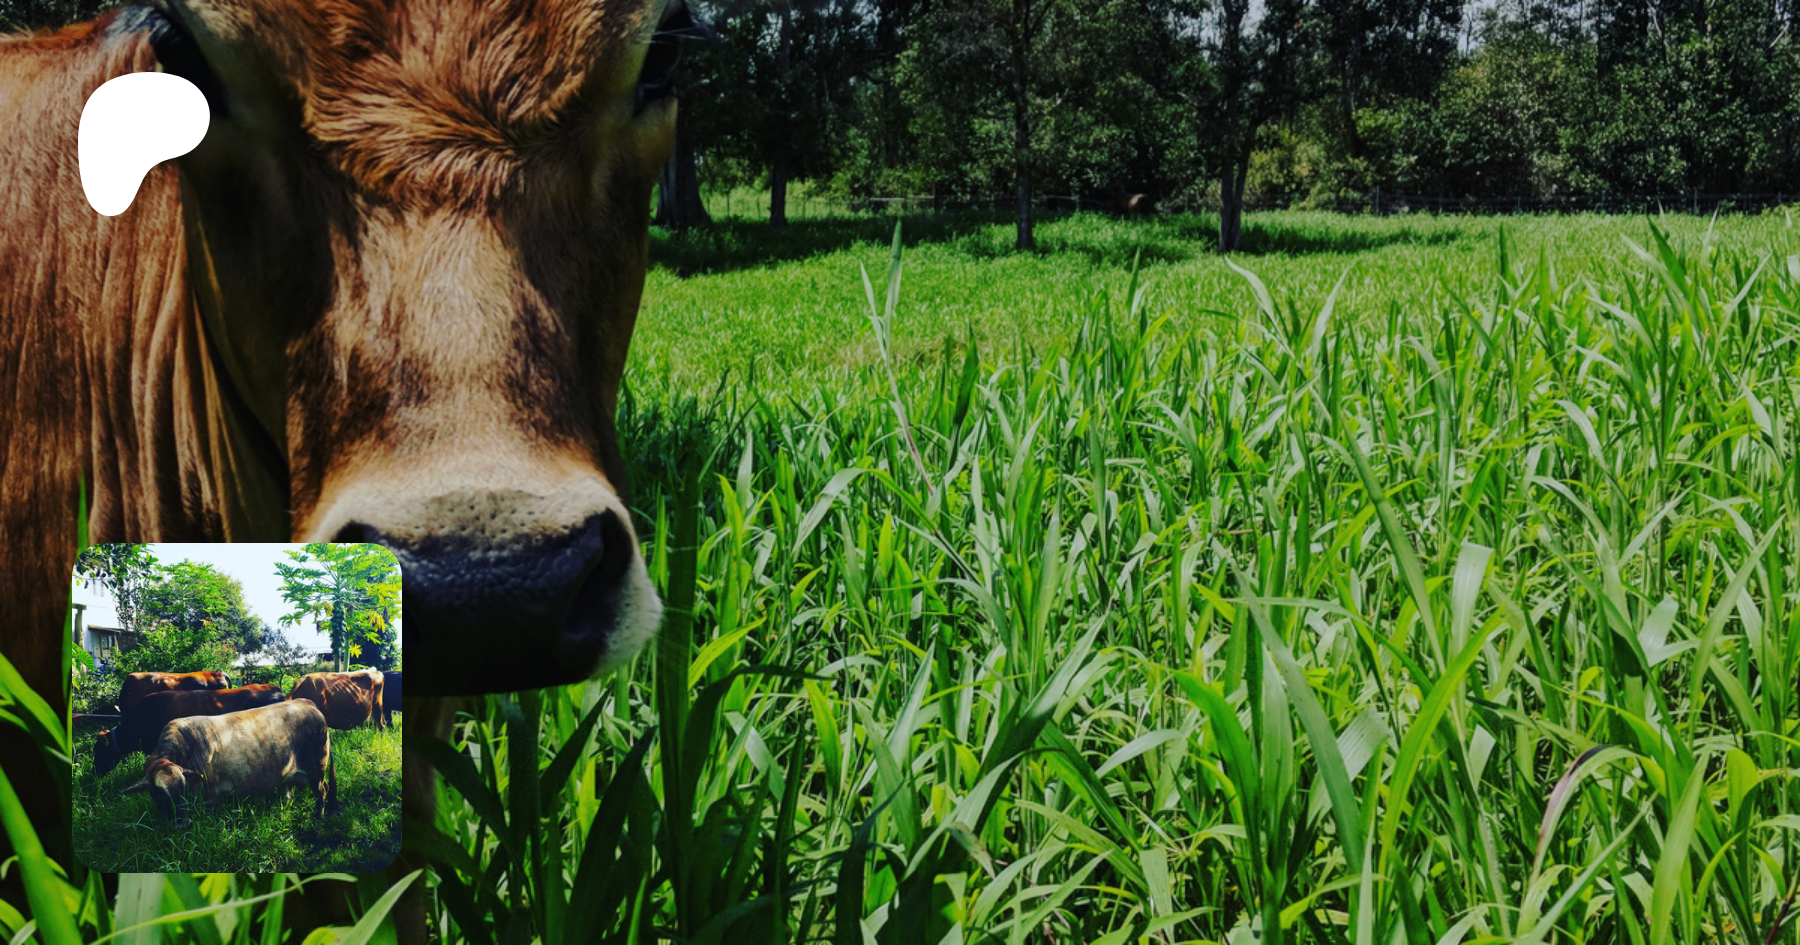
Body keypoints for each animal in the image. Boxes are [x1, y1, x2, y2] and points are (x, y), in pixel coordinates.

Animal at [121, 698, 337, 826]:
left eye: (182, 789)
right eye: (159, 792)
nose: (182, 823)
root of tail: (306, 702)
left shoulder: (210, 798)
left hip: (317, 767)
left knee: (322, 792)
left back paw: (319, 818)